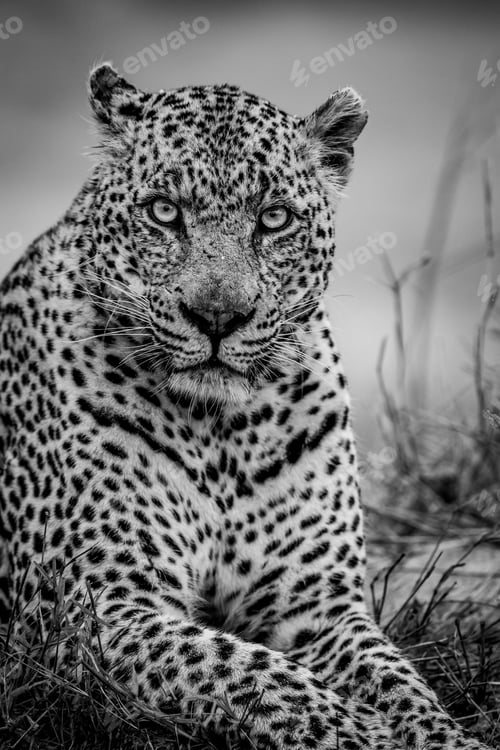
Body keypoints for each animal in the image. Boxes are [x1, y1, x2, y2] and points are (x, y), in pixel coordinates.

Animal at [0, 63, 493, 750]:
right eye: (164, 212)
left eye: (274, 219)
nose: (217, 316)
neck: (222, 429)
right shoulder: (91, 610)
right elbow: (249, 669)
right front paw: (363, 733)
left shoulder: (316, 605)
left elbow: (402, 684)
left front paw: (444, 737)